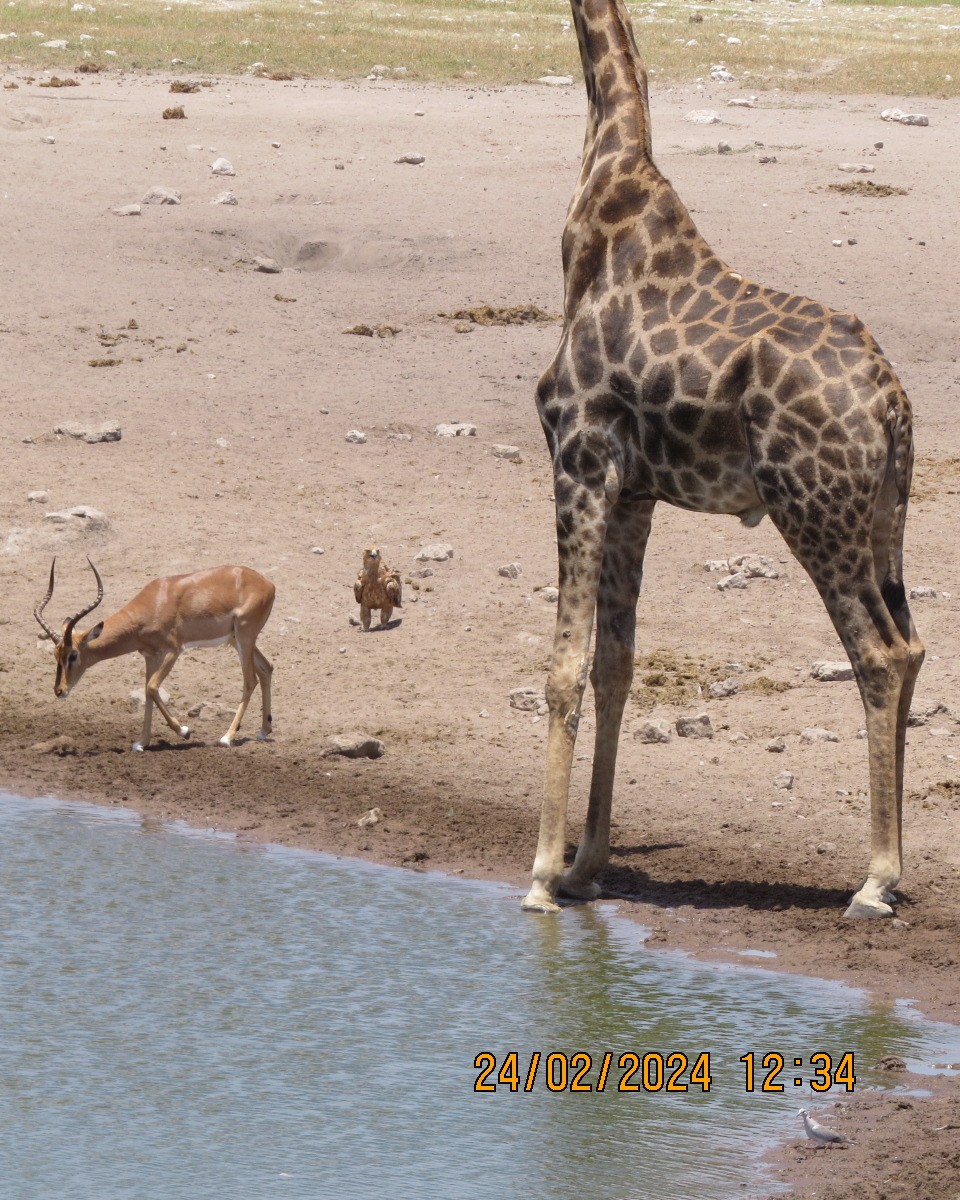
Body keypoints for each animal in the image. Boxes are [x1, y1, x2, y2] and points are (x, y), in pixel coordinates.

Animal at [35, 559, 276, 748]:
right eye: (56, 655)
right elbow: (147, 692)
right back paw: (264, 731)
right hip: (237, 640)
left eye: (73, 655)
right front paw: (141, 742)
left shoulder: (174, 650)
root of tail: (269, 584)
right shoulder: (150, 655)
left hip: (244, 637)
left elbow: (151, 687)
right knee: (267, 668)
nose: (59, 690)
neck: (154, 603)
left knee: (250, 680)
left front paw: (184, 731)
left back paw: (227, 737)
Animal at [520, 0, 926, 916]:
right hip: (885, 517)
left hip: (812, 511)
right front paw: (586, 863)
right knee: (914, 645)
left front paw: (541, 874)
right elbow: (615, 663)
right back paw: (894, 870)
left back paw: (875, 879)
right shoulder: (635, 492)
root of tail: (889, 402)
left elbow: (562, 665)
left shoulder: (578, 460)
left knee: (880, 654)